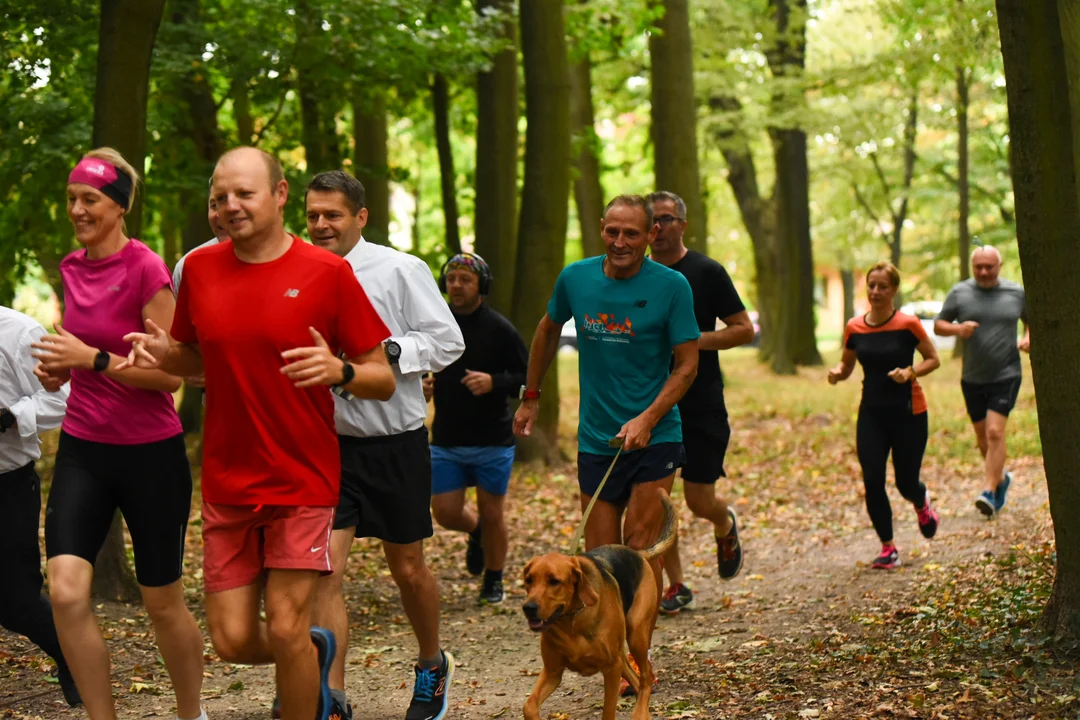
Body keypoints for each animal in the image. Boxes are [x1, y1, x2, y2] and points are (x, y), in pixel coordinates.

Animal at [520, 496, 673, 720]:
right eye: (529, 580)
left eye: (554, 581)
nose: (528, 607)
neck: (571, 620)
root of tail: (636, 553)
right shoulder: (552, 671)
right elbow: (529, 706)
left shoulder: (610, 668)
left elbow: (608, 711)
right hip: (621, 652)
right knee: (638, 680)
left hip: (636, 634)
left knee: (646, 678)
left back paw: (640, 713)